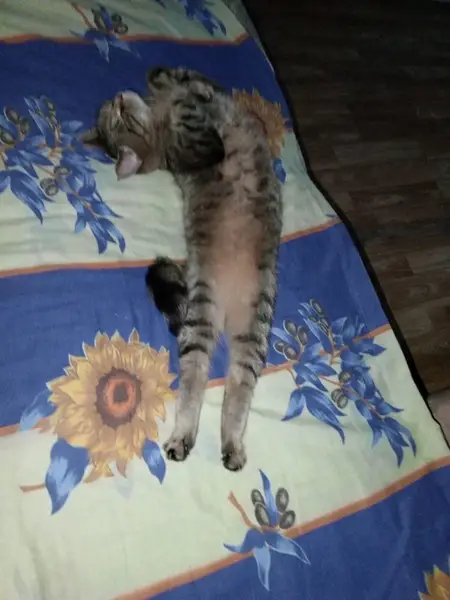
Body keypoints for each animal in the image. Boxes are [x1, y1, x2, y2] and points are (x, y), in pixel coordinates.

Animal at [82, 67, 282, 471]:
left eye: (114, 114)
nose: (119, 98)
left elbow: (174, 85)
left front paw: (173, 90)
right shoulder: (197, 139)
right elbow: (180, 84)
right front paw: (184, 89)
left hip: (252, 324)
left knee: (236, 389)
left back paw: (230, 446)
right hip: (205, 317)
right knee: (197, 382)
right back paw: (183, 437)